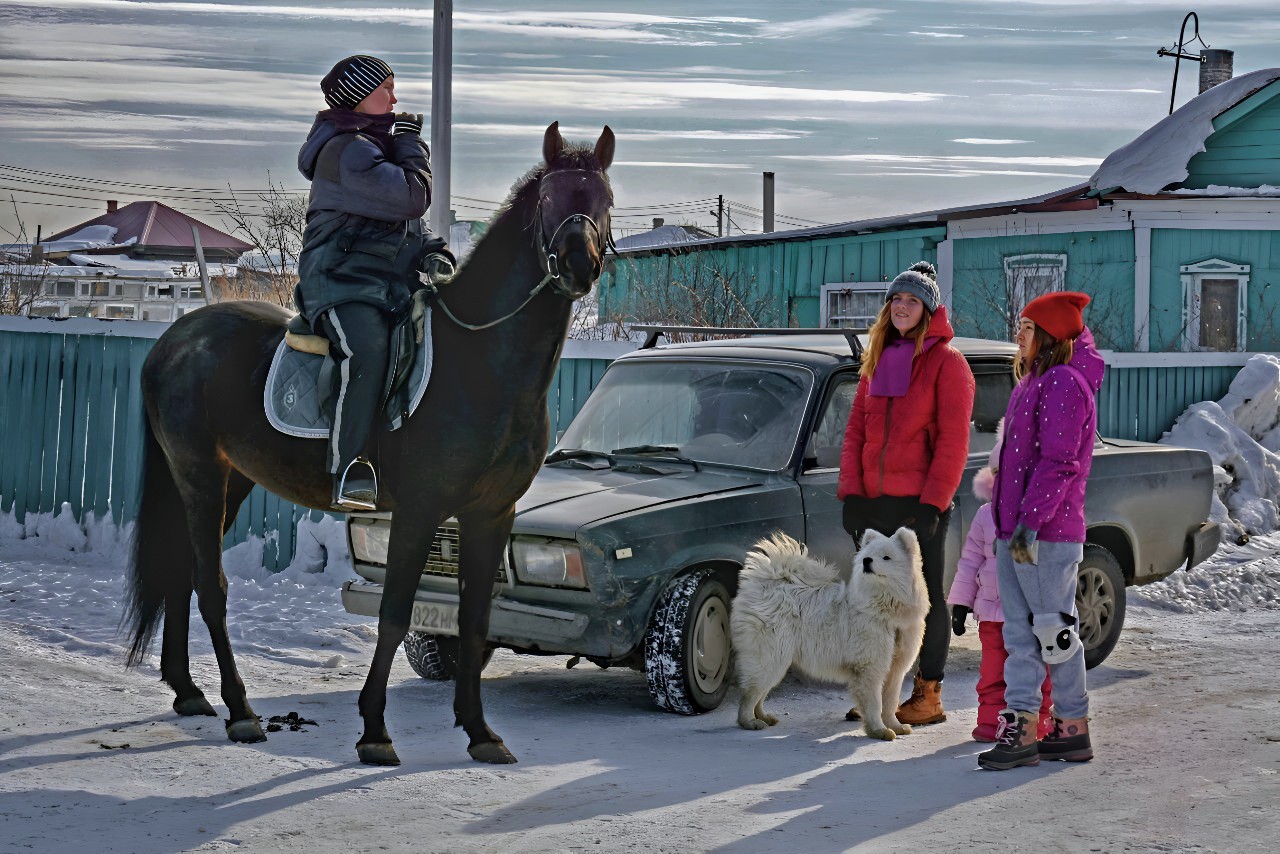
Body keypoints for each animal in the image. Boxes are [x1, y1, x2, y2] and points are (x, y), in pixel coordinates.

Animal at [127, 121, 616, 768]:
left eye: (604, 200)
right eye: (551, 200)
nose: (578, 264)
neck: (483, 361)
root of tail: (176, 337)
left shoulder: (492, 514)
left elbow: (475, 618)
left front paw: (480, 731)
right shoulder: (418, 511)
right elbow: (393, 615)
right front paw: (375, 730)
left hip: (231, 481)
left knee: (183, 573)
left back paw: (188, 691)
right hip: (200, 476)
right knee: (210, 587)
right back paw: (240, 710)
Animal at [732, 527, 931, 742]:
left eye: (886, 557)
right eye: (867, 555)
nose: (866, 561)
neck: (883, 610)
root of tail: (764, 585)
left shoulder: (896, 668)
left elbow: (890, 702)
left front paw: (896, 726)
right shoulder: (869, 668)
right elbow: (875, 704)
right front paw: (878, 730)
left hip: (777, 661)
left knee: (760, 694)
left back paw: (763, 717)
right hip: (770, 658)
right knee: (750, 694)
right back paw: (749, 722)